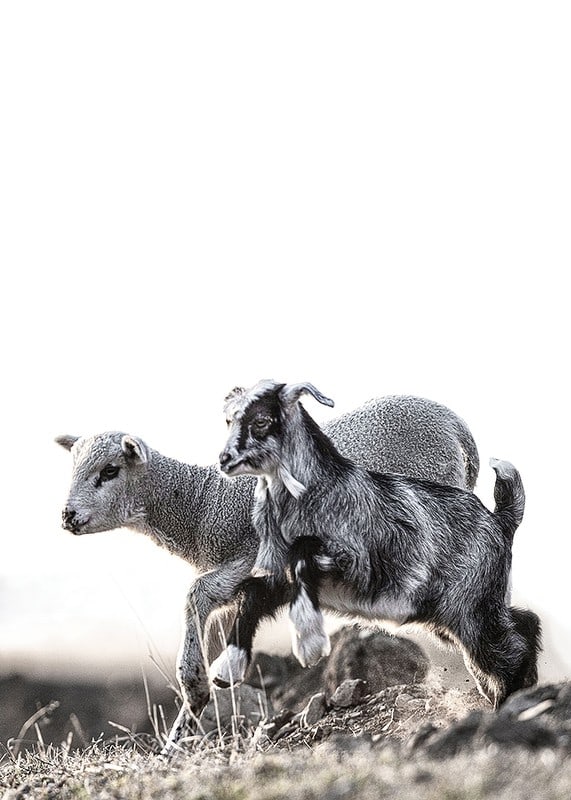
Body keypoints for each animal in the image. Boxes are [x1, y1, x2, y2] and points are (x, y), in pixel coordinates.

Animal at [56, 393, 479, 750]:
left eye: (110, 470)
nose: (67, 516)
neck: (201, 503)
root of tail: (456, 424)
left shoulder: (249, 557)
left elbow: (197, 595)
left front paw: (195, 694)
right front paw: (182, 731)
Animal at [215, 380, 541, 709]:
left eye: (261, 421)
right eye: (229, 419)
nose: (224, 461)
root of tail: (500, 519)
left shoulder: (355, 563)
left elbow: (300, 561)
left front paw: (309, 643)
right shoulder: (276, 576)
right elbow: (251, 594)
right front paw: (226, 669)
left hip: (470, 608)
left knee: (507, 648)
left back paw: (509, 701)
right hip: (459, 610)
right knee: (522, 623)